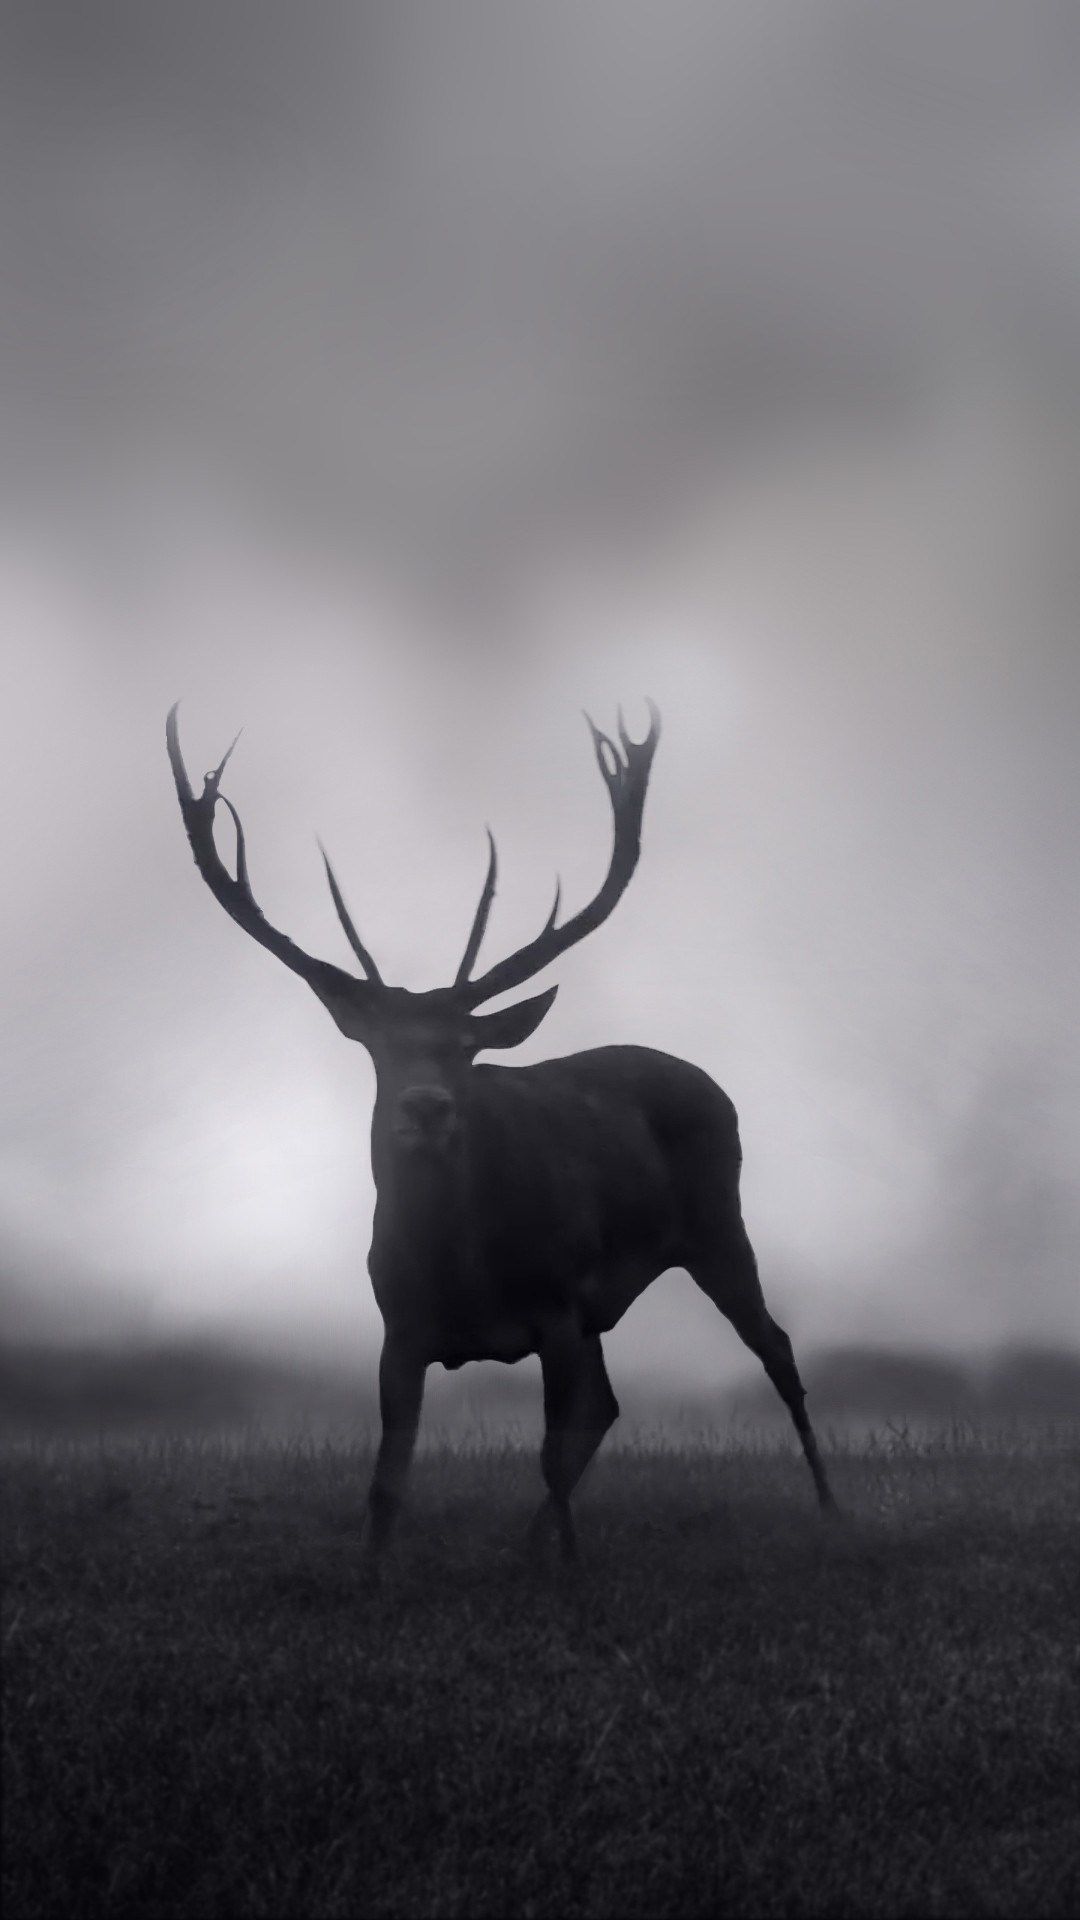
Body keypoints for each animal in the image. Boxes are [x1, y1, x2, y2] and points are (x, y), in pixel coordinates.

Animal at [166, 700, 836, 1569]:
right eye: (380, 1048)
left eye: (465, 1047)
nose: (425, 1106)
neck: (459, 1264)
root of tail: (711, 1082)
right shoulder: (399, 1325)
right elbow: (387, 1482)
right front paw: (371, 1576)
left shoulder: (555, 1300)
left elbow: (548, 1452)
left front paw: (574, 1573)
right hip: (609, 1300)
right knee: (611, 1403)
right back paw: (525, 1544)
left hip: (716, 1223)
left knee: (775, 1350)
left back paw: (831, 1509)